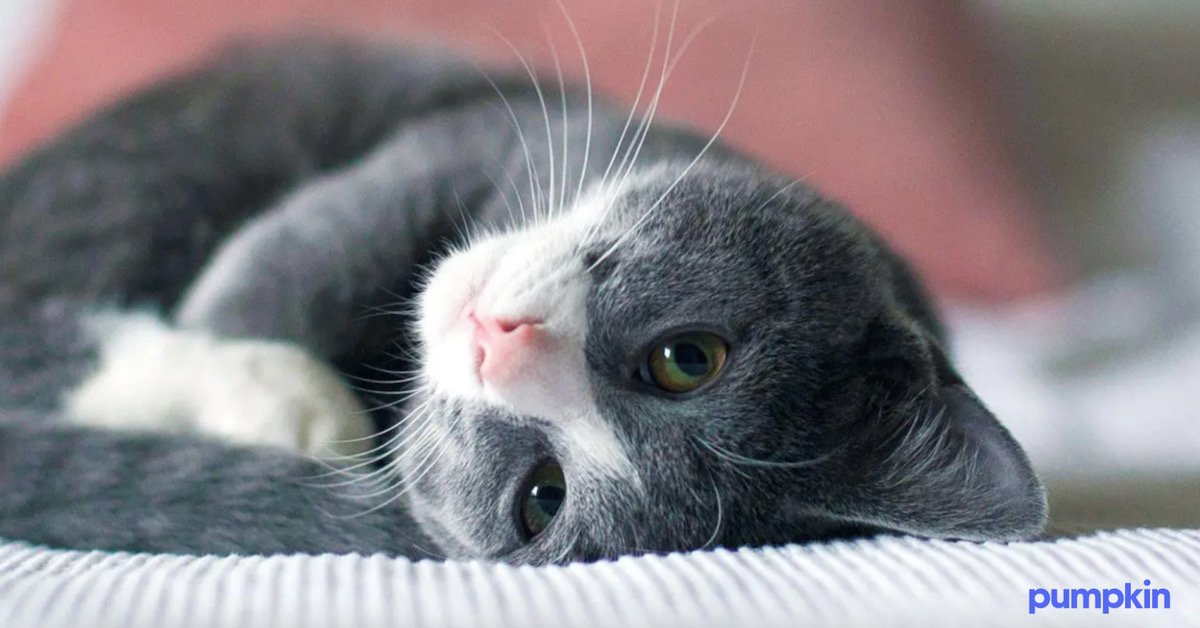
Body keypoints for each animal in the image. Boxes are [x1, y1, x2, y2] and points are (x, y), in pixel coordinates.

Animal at [0, 36, 1046, 561]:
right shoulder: (478, 140)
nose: (499, 343)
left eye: (543, 497)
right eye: (687, 357)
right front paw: (268, 363)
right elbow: (302, 252)